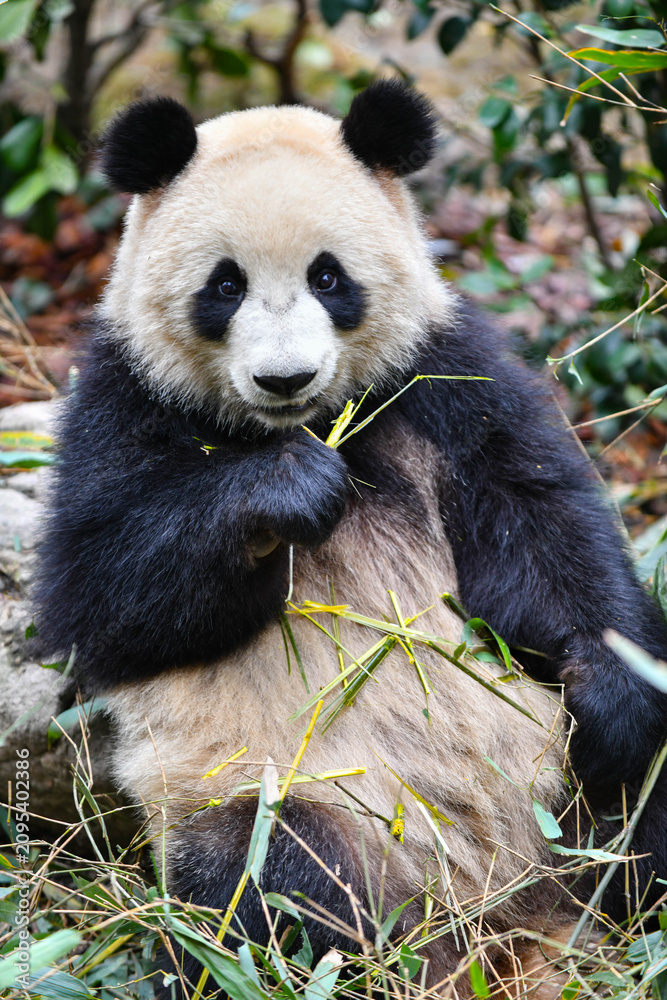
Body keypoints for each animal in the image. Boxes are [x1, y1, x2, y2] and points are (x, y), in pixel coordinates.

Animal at [34, 81, 667, 996]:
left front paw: (607, 690)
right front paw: (286, 492)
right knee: (267, 880)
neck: (309, 423)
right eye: (223, 286)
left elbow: (539, 526)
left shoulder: (442, 378)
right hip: (289, 797)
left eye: (328, 276)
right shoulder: (118, 401)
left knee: (640, 811)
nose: (284, 378)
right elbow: (100, 597)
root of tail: (497, 915)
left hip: (558, 793)